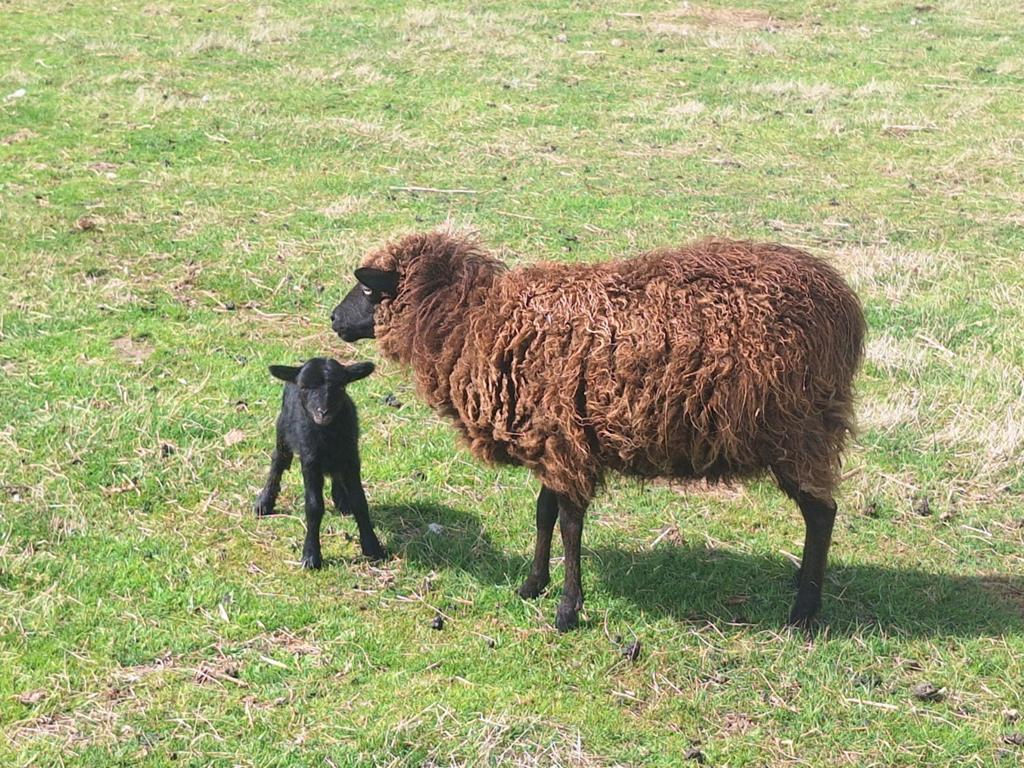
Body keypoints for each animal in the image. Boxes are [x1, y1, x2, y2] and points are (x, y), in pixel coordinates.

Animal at [255, 358, 385, 567]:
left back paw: (341, 498)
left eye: (341, 386)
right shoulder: (310, 462)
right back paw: (264, 502)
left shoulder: (351, 458)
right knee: (278, 461)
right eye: (304, 387)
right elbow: (314, 506)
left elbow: (359, 501)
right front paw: (311, 556)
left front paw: (372, 547)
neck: (327, 434)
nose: (323, 412)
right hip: (283, 431)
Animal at [331, 231, 865, 631]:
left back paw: (803, 610)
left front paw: (567, 610)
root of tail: (844, 305)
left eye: (368, 290)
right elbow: (543, 514)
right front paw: (532, 585)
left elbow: (570, 526)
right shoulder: (551, 439)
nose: (335, 319)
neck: (471, 322)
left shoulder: (565, 444)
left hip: (799, 430)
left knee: (822, 513)